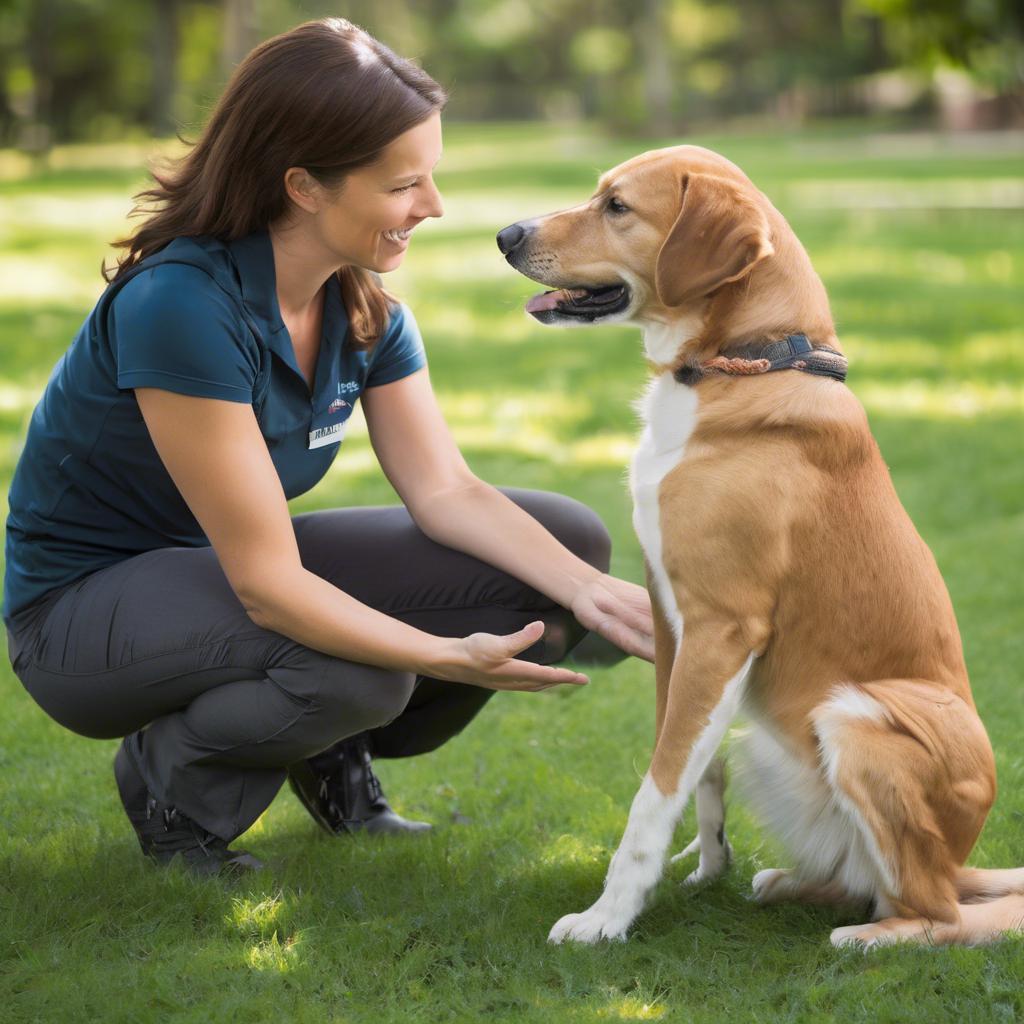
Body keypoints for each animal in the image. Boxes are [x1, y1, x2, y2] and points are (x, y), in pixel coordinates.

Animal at [495, 146, 1024, 950]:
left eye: (617, 206)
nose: (503, 235)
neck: (740, 362)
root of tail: (962, 861)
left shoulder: (723, 627)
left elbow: (654, 791)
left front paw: (608, 917)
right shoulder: (675, 625)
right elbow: (688, 765)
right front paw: (708, 863)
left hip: (856, 719)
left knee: (940, 912)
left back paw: (870, 938)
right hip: (768, 741)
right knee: (864, 884)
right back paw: (789, 884)